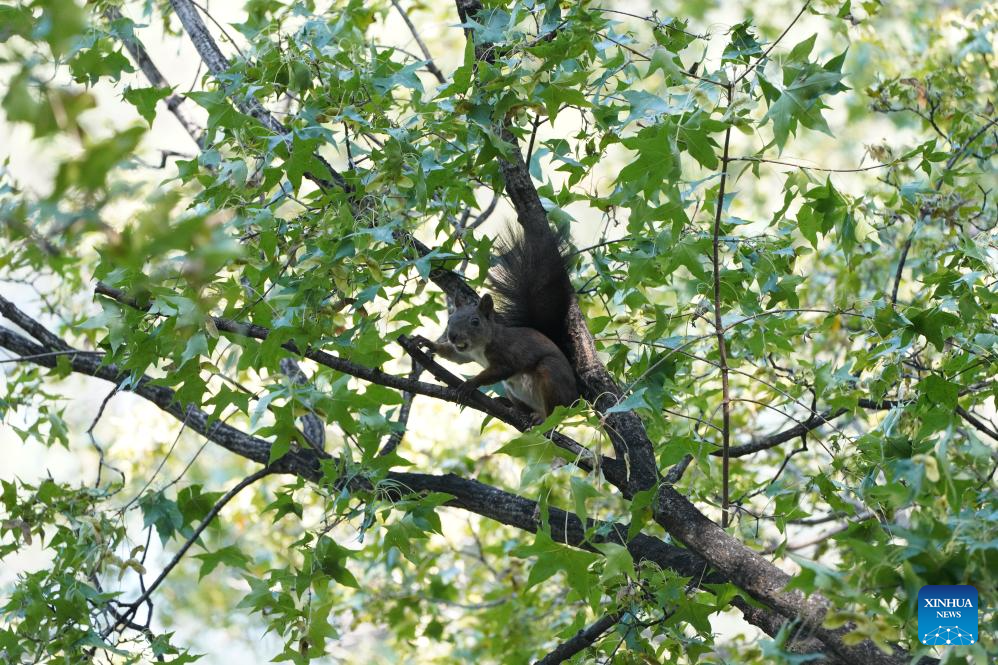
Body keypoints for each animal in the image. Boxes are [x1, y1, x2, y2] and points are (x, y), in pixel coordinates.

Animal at [414, 222, 584, 420]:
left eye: (475, 322)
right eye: (450, 320)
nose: (453, 336)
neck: (480, 347)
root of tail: (576, 399)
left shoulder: (507, 353)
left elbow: (501, 370)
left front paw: (470, 384)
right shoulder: (466, 354)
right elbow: (454, 356)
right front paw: (426, 343)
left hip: (552, 376)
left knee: (555, 411)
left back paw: (543, 417)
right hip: (513, 391)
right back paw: (509, 405)